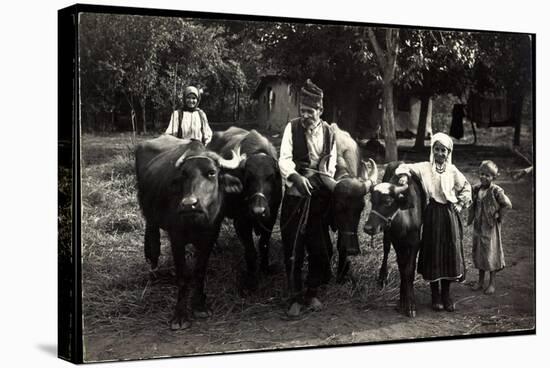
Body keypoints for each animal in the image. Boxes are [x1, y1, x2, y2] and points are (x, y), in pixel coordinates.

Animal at [136, 134, 244, 330]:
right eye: (184, 174)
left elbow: (199, 271)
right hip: (149, 215)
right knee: (153, 240)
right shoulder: (176, 238)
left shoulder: (210, 236)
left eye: (211, 172)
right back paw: (153, 272)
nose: (189, 204)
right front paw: (180, 316)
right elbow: (183, 276)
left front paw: (200, 305)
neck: (196, 220)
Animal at [208, 126, 282, 290]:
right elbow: (250, 251)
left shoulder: (271, 218)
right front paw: (251, 281)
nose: (258, 211)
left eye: (271, 176)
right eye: (249, 177)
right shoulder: (241, 222)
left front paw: (265, 268)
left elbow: (263, 245)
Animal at [320, 124, 380, 282]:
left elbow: (342, 244)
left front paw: (342, 273)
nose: (353, 250)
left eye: (361, 209)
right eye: (339, 207)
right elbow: (326, 243)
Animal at [364, 162, 430, 318]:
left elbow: (409, 270)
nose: (368, 228)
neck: (404, 221)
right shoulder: (397, 241)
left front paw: (410, 304)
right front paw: (402, 301)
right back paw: (382, 277)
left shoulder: (415, 242)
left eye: (388, 201)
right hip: (387, 235)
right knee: (386, 249)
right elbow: (401, 267)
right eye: (372, 200)